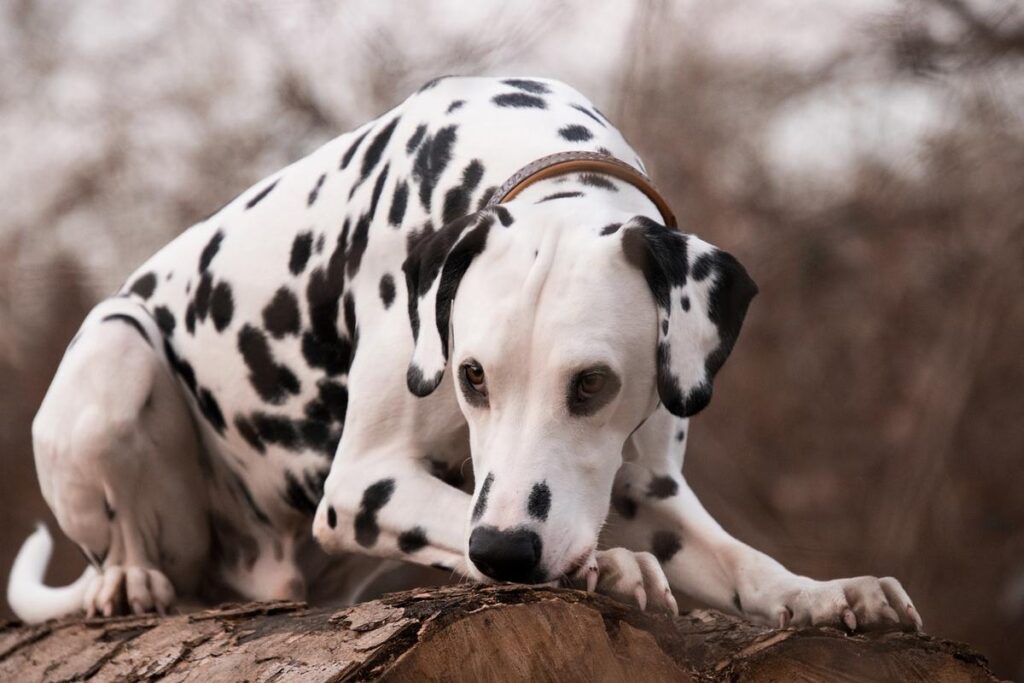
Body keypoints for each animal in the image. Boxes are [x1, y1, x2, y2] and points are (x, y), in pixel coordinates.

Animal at [6, 73, 921, 630]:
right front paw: (604, 566)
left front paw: (827, 592)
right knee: (125, 541)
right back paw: (128, 579)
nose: (509, 553)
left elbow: (744, 560)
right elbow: (458, 515)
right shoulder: (363, 484)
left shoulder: (648, 489)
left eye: (593, 384)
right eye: (471, 377)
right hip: (117, 347)